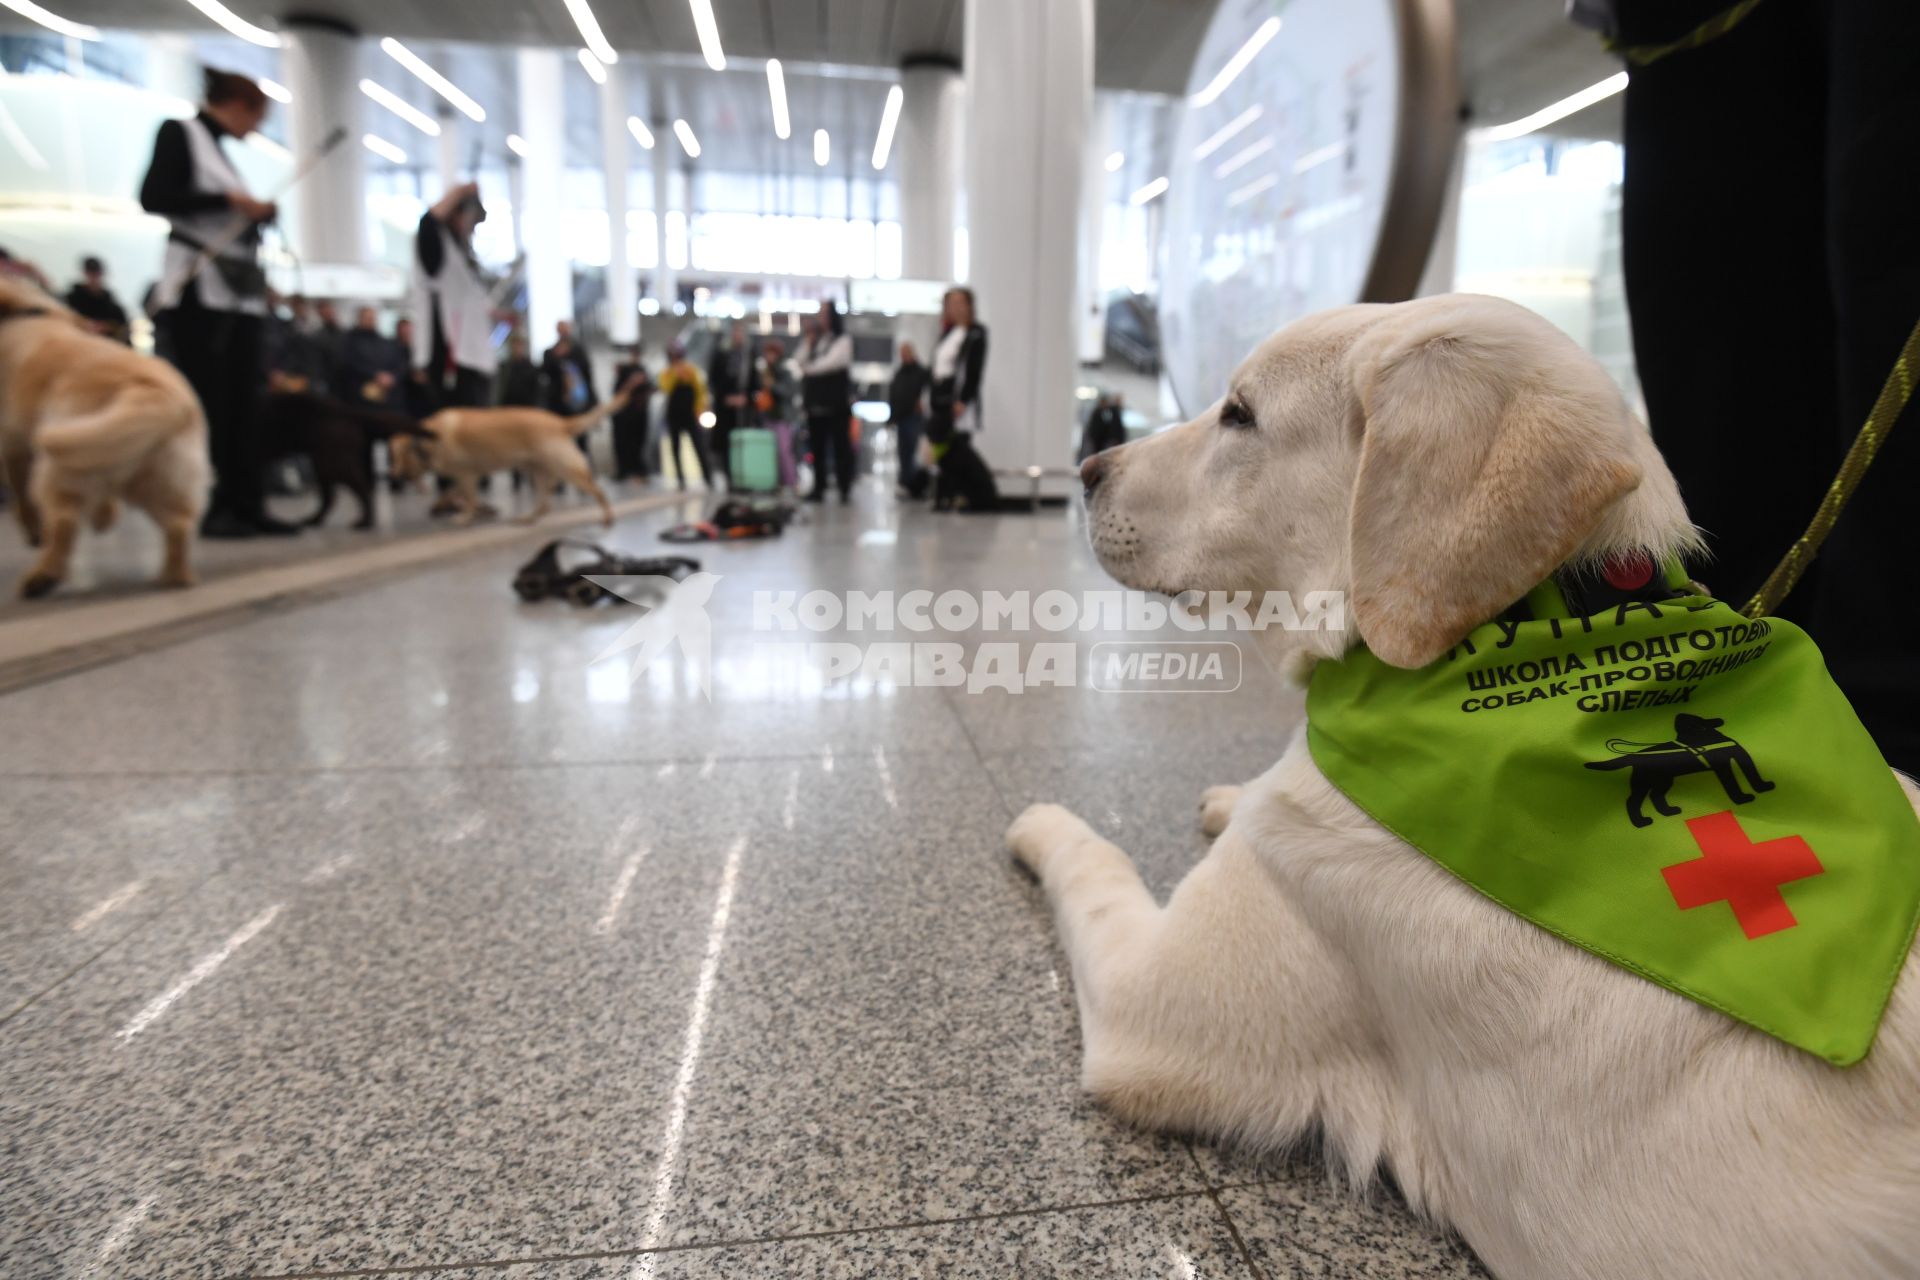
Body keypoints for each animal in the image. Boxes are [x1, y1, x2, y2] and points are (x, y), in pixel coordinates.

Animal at [0, 276, 210, 594]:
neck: (26, 312)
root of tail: (151, 391)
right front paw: (104, 517)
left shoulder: (13, 444)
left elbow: (21, 494)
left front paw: (33, 530)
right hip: (158, 475)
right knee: (180, 525)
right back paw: (175, 576)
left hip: (63, 464)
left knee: (63, 523)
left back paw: (42, 577)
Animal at [389, 383, 637, 529]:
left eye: (398, 456)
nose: (396, 476)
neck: (427, 436)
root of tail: (560, 422)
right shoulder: (466, 477)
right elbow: (456, 493)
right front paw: (464, 508)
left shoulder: (467, 474)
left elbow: (469, 499)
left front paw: (465, 516)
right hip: (537, 472)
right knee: (544, 506)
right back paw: (526, 519)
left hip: (567, 470)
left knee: (598, 491)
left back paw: (608, 518)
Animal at [1006, 295, 1920, 1280]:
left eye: (1240, 414)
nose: (1086, 468)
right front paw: (1227, 798)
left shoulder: (1144, 1008)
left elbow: (1093, 857)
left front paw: (1041, 817)